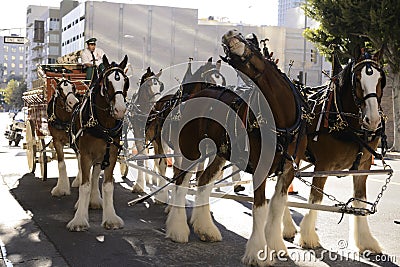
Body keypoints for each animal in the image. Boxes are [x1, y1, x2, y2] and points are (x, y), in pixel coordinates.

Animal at [68, 55, 129, 232]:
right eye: (107, 82)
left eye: (126, 82)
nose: (120, 110)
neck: (104, 126)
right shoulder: (85, 155)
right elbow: (84, 185)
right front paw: (79, 220)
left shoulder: (112, 155)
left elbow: (107, 185)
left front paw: (110, 218)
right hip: (80, 153)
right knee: (83, 174)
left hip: (100, 157)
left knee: (95, 176)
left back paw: (94, 200)